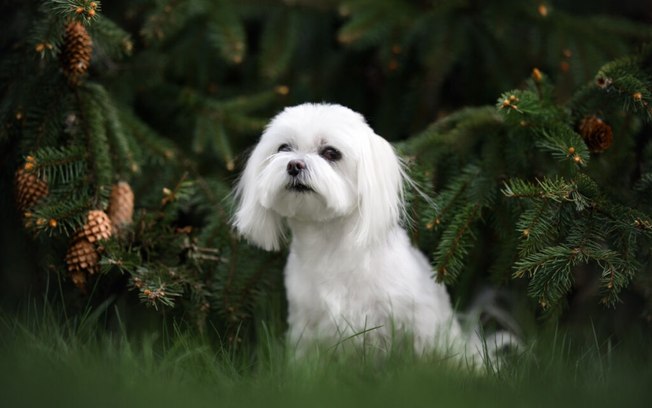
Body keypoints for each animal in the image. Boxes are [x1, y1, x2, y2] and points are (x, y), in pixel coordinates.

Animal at [232, 103, 512, 364]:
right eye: (283, 148)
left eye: (331, 153)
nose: (294, 164)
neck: (329, 244)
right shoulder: (307, 324)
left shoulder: (409, 320)